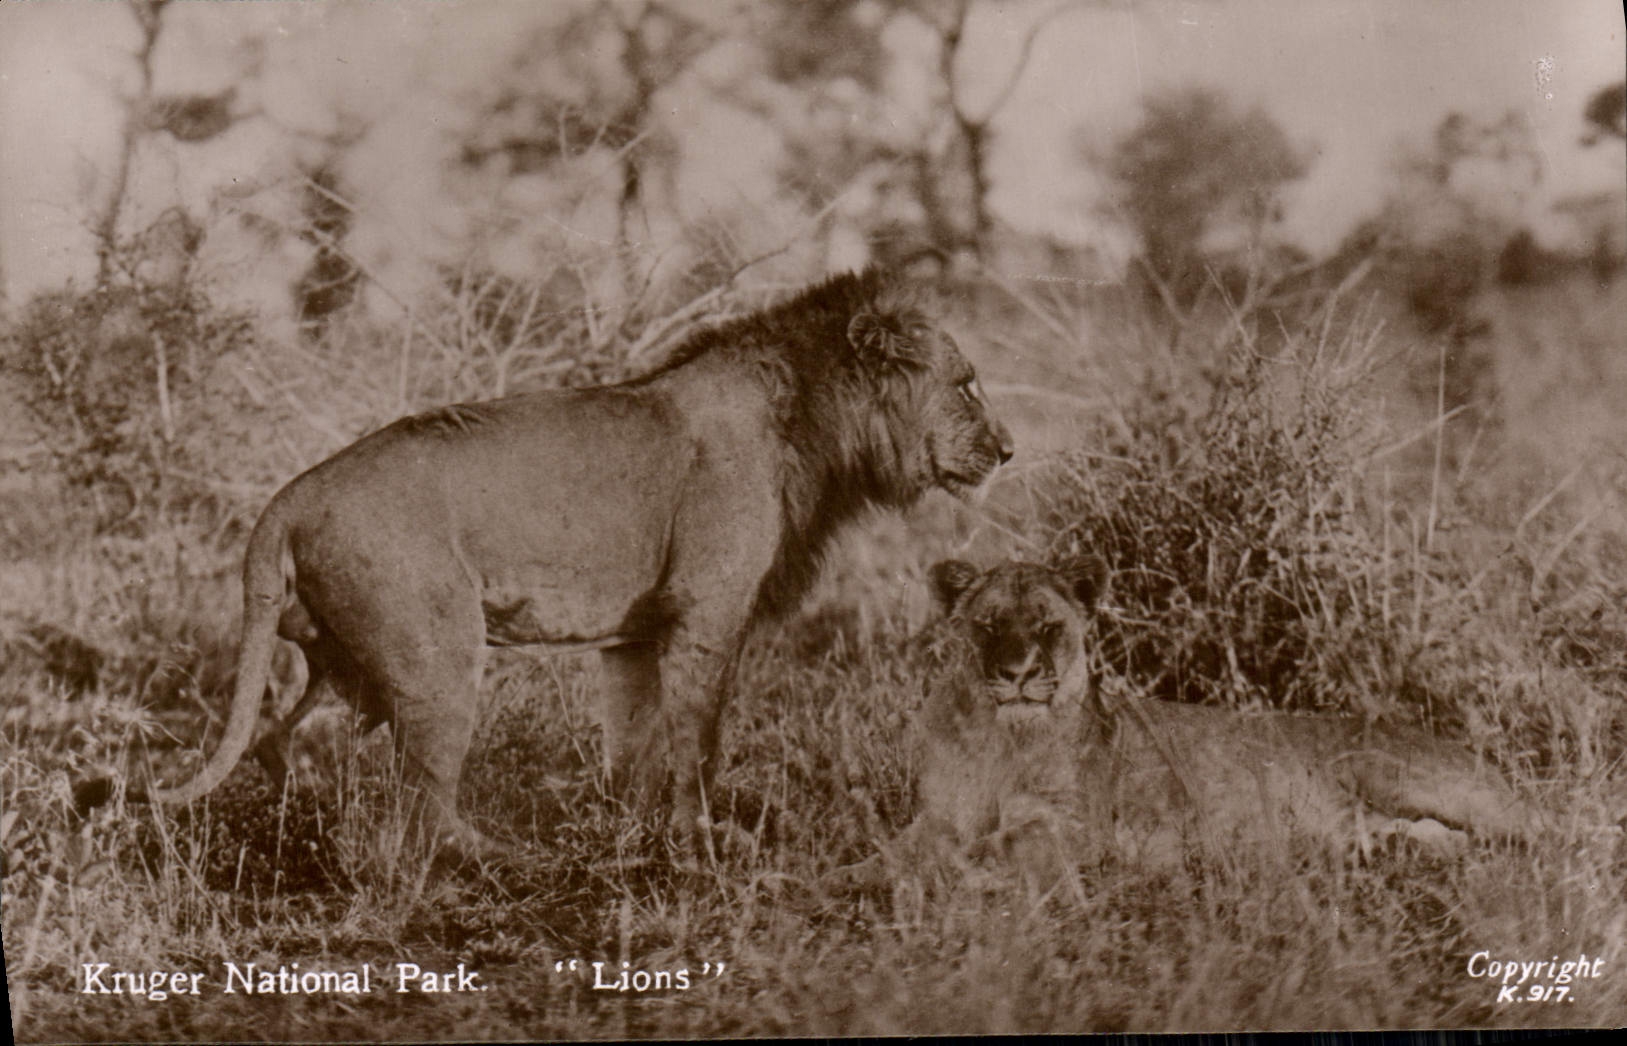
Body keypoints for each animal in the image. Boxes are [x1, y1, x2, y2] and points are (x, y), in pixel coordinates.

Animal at [113, 268, 1013, 856]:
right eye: (966, 384)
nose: (1008, 450)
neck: (816, 425)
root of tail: (288, 498)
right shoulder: (708, 613)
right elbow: (697, 740)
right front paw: (702, 840)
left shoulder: (637, 636)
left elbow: (635, 740)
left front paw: (633, 827)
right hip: (436, 654)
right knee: (415, 810)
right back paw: (492, 857)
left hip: (341, 661)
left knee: (276, 740)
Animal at [863, 557, 1537, 889]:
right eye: (989, 624)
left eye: (1049, 627)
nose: (1019, 672)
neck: (1000, 738)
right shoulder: (940, 812)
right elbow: (902, 845)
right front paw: (875, 870)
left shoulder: (1078, 829)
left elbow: (991, 846)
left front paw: (954, 874)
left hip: (1391, 772)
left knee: (1532, 834)